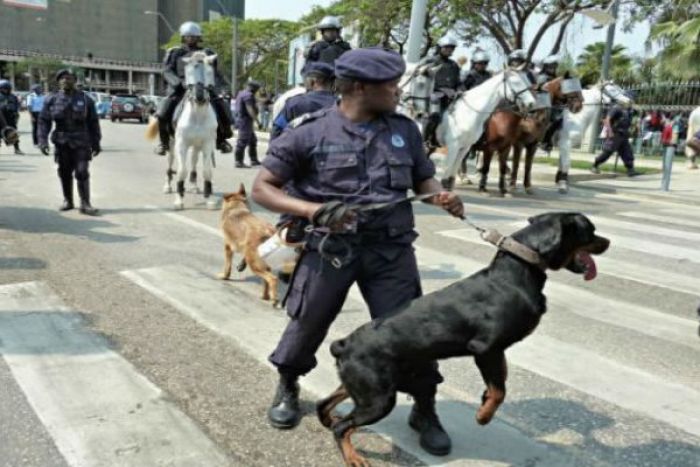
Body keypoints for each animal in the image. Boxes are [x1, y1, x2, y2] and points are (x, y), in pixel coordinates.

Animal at [145, 51, 216, 210]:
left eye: (210, 71)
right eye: (188, 71)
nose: (199, 97)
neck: (197, 114)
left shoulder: (207, 144)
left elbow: (207, 171)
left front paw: (209, 198)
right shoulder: (181, 144)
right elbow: (182, 170)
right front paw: (179, 199)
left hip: (196, 146)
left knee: (194, 162)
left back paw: (194, 186)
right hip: (171, 144)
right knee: (170, 162)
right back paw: (168, 186)